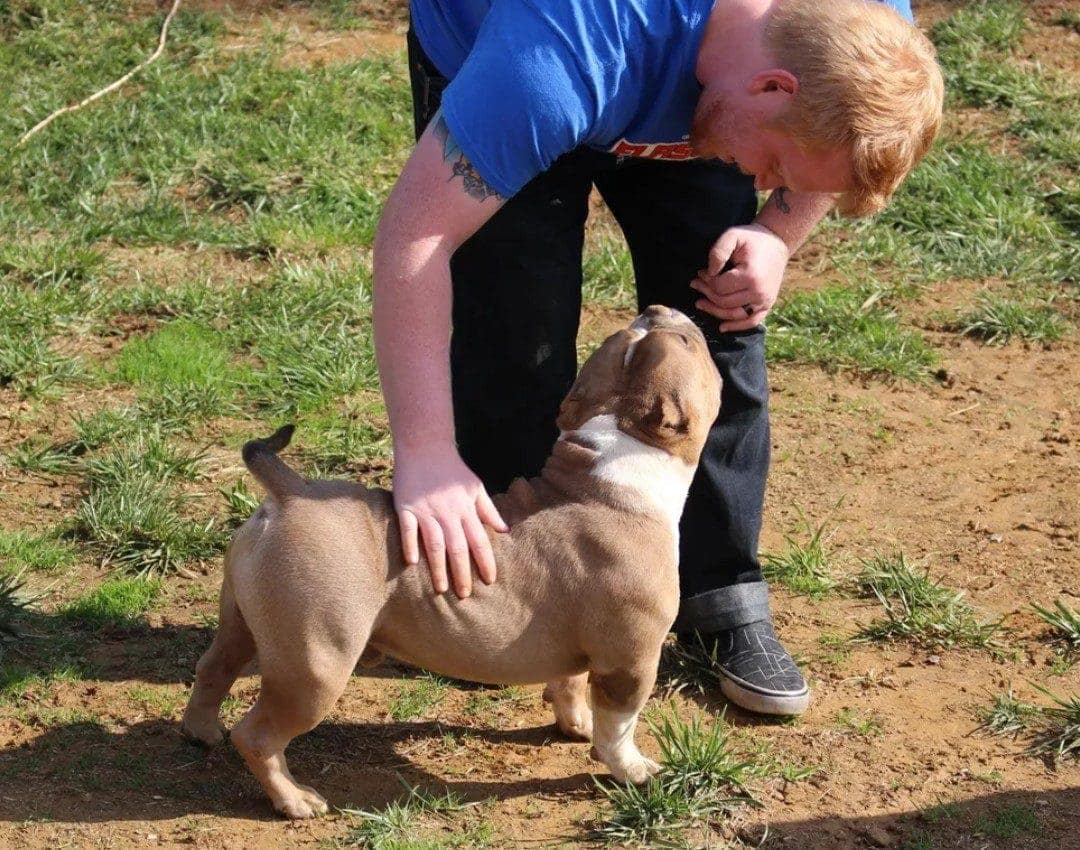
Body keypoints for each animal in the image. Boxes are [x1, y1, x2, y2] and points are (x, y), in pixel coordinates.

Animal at [183, 304, 725, 816]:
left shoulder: (582, 650)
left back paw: (200, 730)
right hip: (315, 665)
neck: (618, 455)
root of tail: (291, 492)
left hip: (244, 623)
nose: (656, 308)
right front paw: (632, 770)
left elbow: (570, 685)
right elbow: (619, 726)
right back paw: (294, 800)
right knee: (259, 735)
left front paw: (577, 725)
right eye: (685, 342)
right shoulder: (630, 661)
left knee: (213, 667)